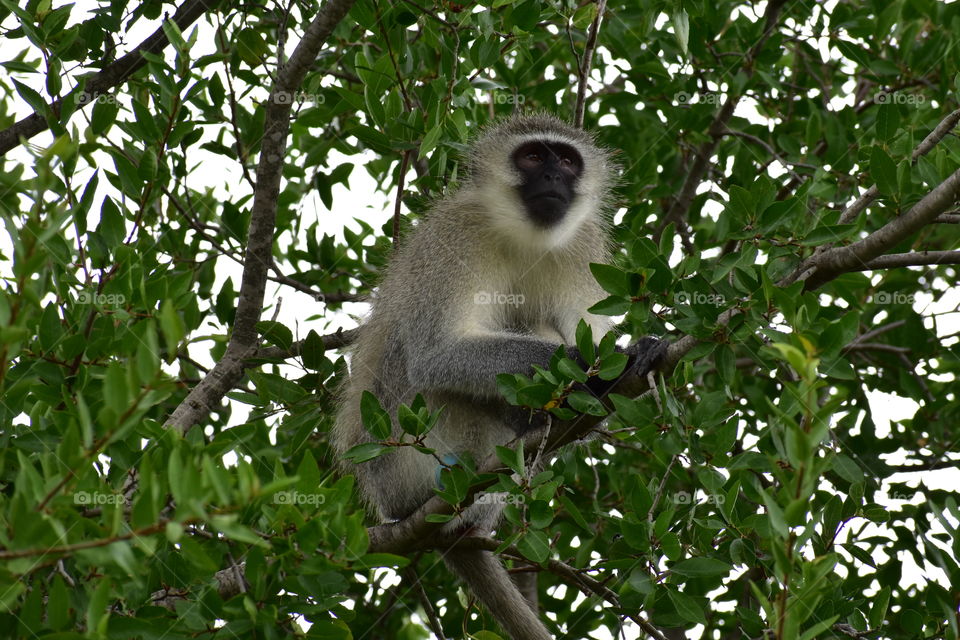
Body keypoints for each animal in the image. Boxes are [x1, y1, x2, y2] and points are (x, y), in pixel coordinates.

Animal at [331, 113, 666, 640]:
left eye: (566, 160)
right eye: (531, 157)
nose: (551, 176)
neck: (524, 235)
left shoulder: (580, 247)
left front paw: (630, 357)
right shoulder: (456, 235)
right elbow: (436, 354)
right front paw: (591, 366)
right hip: (403, 461)